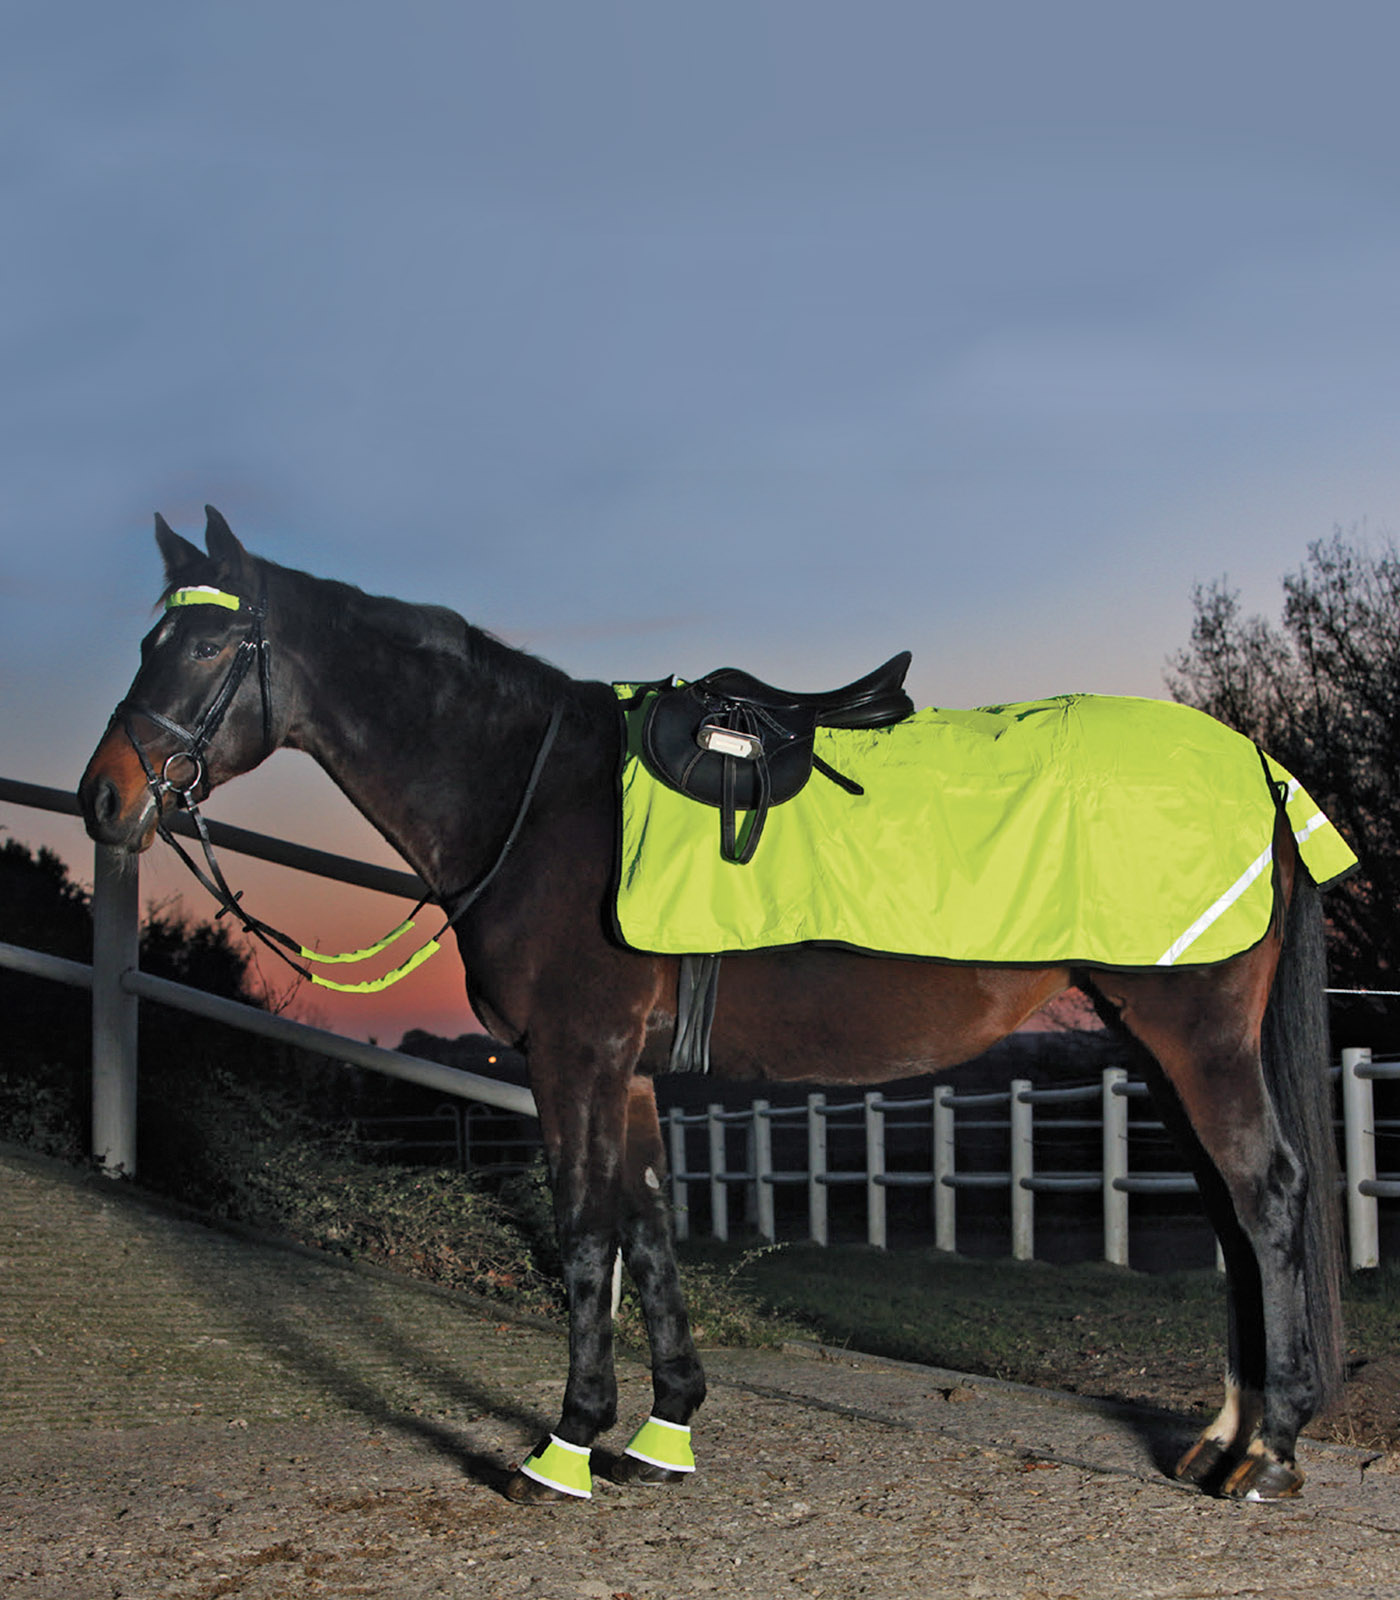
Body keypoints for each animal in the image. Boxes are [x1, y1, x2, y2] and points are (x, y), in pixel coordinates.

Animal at [79, 508, 1344, 1497]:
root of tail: (1258, 767)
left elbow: (585, 1230)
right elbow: (649, 1226)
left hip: (1192, 1036)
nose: (105, 797)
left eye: (206, 643)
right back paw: (1221, 1436)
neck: (538, 795)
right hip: (1156, 1041)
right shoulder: (628, 1071)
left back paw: (1267, 1455)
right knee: (1229, 1214)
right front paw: (662, 1430)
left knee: (1265, 1197)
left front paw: (563, 1446)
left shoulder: (574, 1055)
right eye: (146, 639)